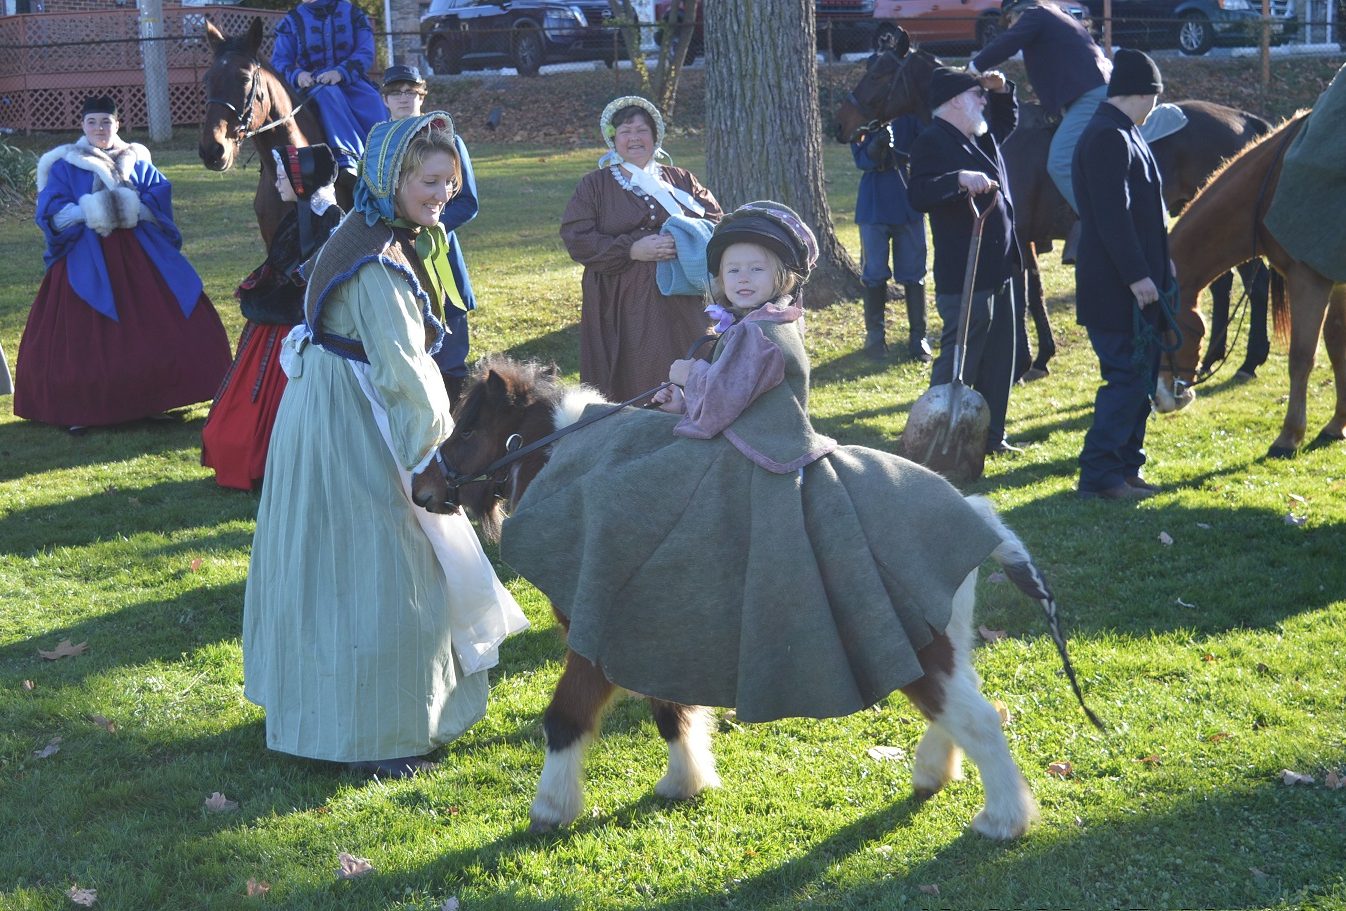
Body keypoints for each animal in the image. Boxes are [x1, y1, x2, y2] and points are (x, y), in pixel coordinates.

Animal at [411, 357, 1103, 839]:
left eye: (468, 429)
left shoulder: (595, 635)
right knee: (960, 711)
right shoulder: (648, 632)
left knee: (980, 719)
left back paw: (1004, 819)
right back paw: (935, 772)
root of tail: (974, 514)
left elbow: (565, 719)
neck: (574, 465)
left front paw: (552, 807)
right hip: (938, 643)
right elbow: (671, 711)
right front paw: (686, 780)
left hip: (921, 647)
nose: (420, 487)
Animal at [834, 30, 1276, 374]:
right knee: (1223, 284)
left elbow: (1025, 294)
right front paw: (1042, 354)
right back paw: (1216, 355)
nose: (840, 124)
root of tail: (1244, 119)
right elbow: (1034, 291)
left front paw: (1027, 359)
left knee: (1255, 283)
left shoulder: (1019, 234)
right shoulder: (1025, 238)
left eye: (878, 72)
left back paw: (1250, 360)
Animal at [1157, 113, 1346, 454]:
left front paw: (1289, 436)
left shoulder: (1308, 280)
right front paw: (1337, 424)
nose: (1159, 401)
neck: (1272, 185)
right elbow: (1337, 345)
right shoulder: (1335, 279)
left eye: (1162, 330)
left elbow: (1301, 357)